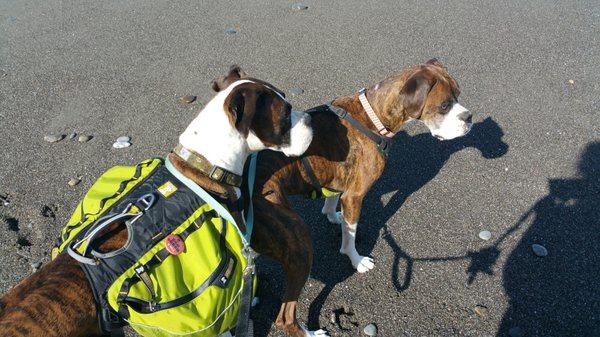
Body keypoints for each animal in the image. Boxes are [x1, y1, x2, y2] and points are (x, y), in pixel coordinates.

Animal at [213, 59, 472, 334]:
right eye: (444, 105)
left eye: (458, 95)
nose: (469, 117)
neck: (373, 116)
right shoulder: (355, 197)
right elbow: (351, 234)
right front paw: (356, 260)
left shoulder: (340, 183)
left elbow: (332, 200)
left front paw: (332, 215)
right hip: (298, 244)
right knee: (285, 316)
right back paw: (310, 332)